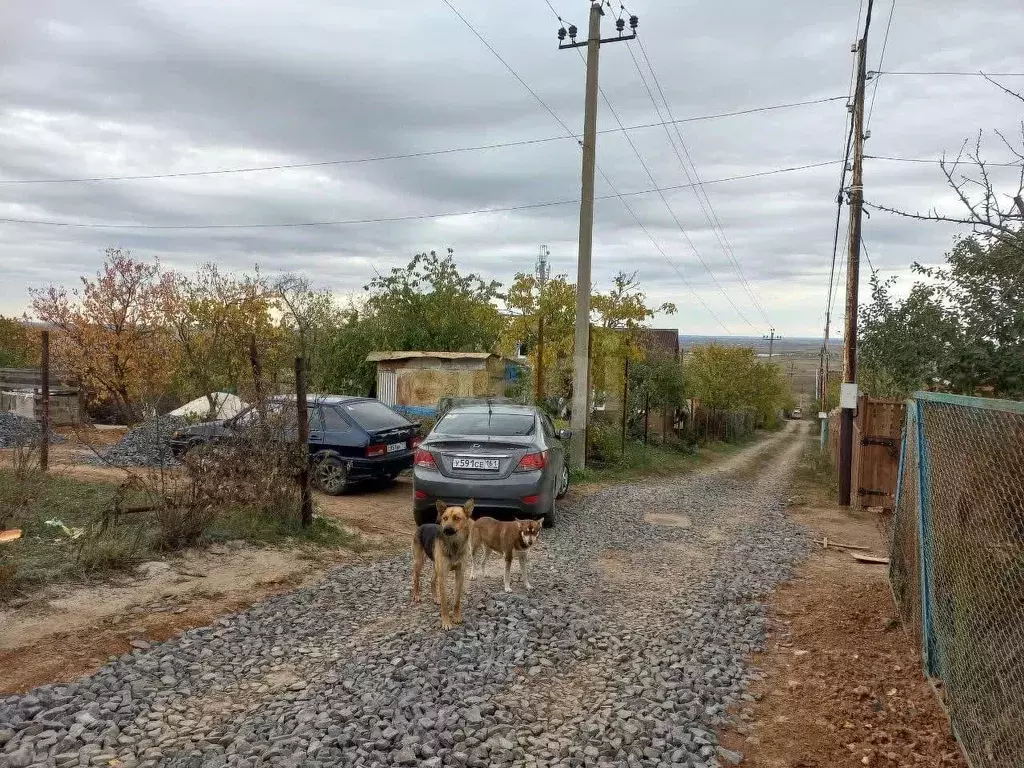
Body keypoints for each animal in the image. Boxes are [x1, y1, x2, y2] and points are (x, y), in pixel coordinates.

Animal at [409, 499, 473, 630]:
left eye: (457, 518)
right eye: (445, 518)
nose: (445, 530)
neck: (454, 545)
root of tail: (423, 525)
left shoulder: (459, 574)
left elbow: (457, 600)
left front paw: (456, 617)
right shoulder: (443, 576)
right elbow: (444, 603)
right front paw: (446, 622)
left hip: (436, 566)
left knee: (432, 580)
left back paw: (435, 597)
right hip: (419, 561)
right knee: (415, 578)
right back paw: (416, 595)